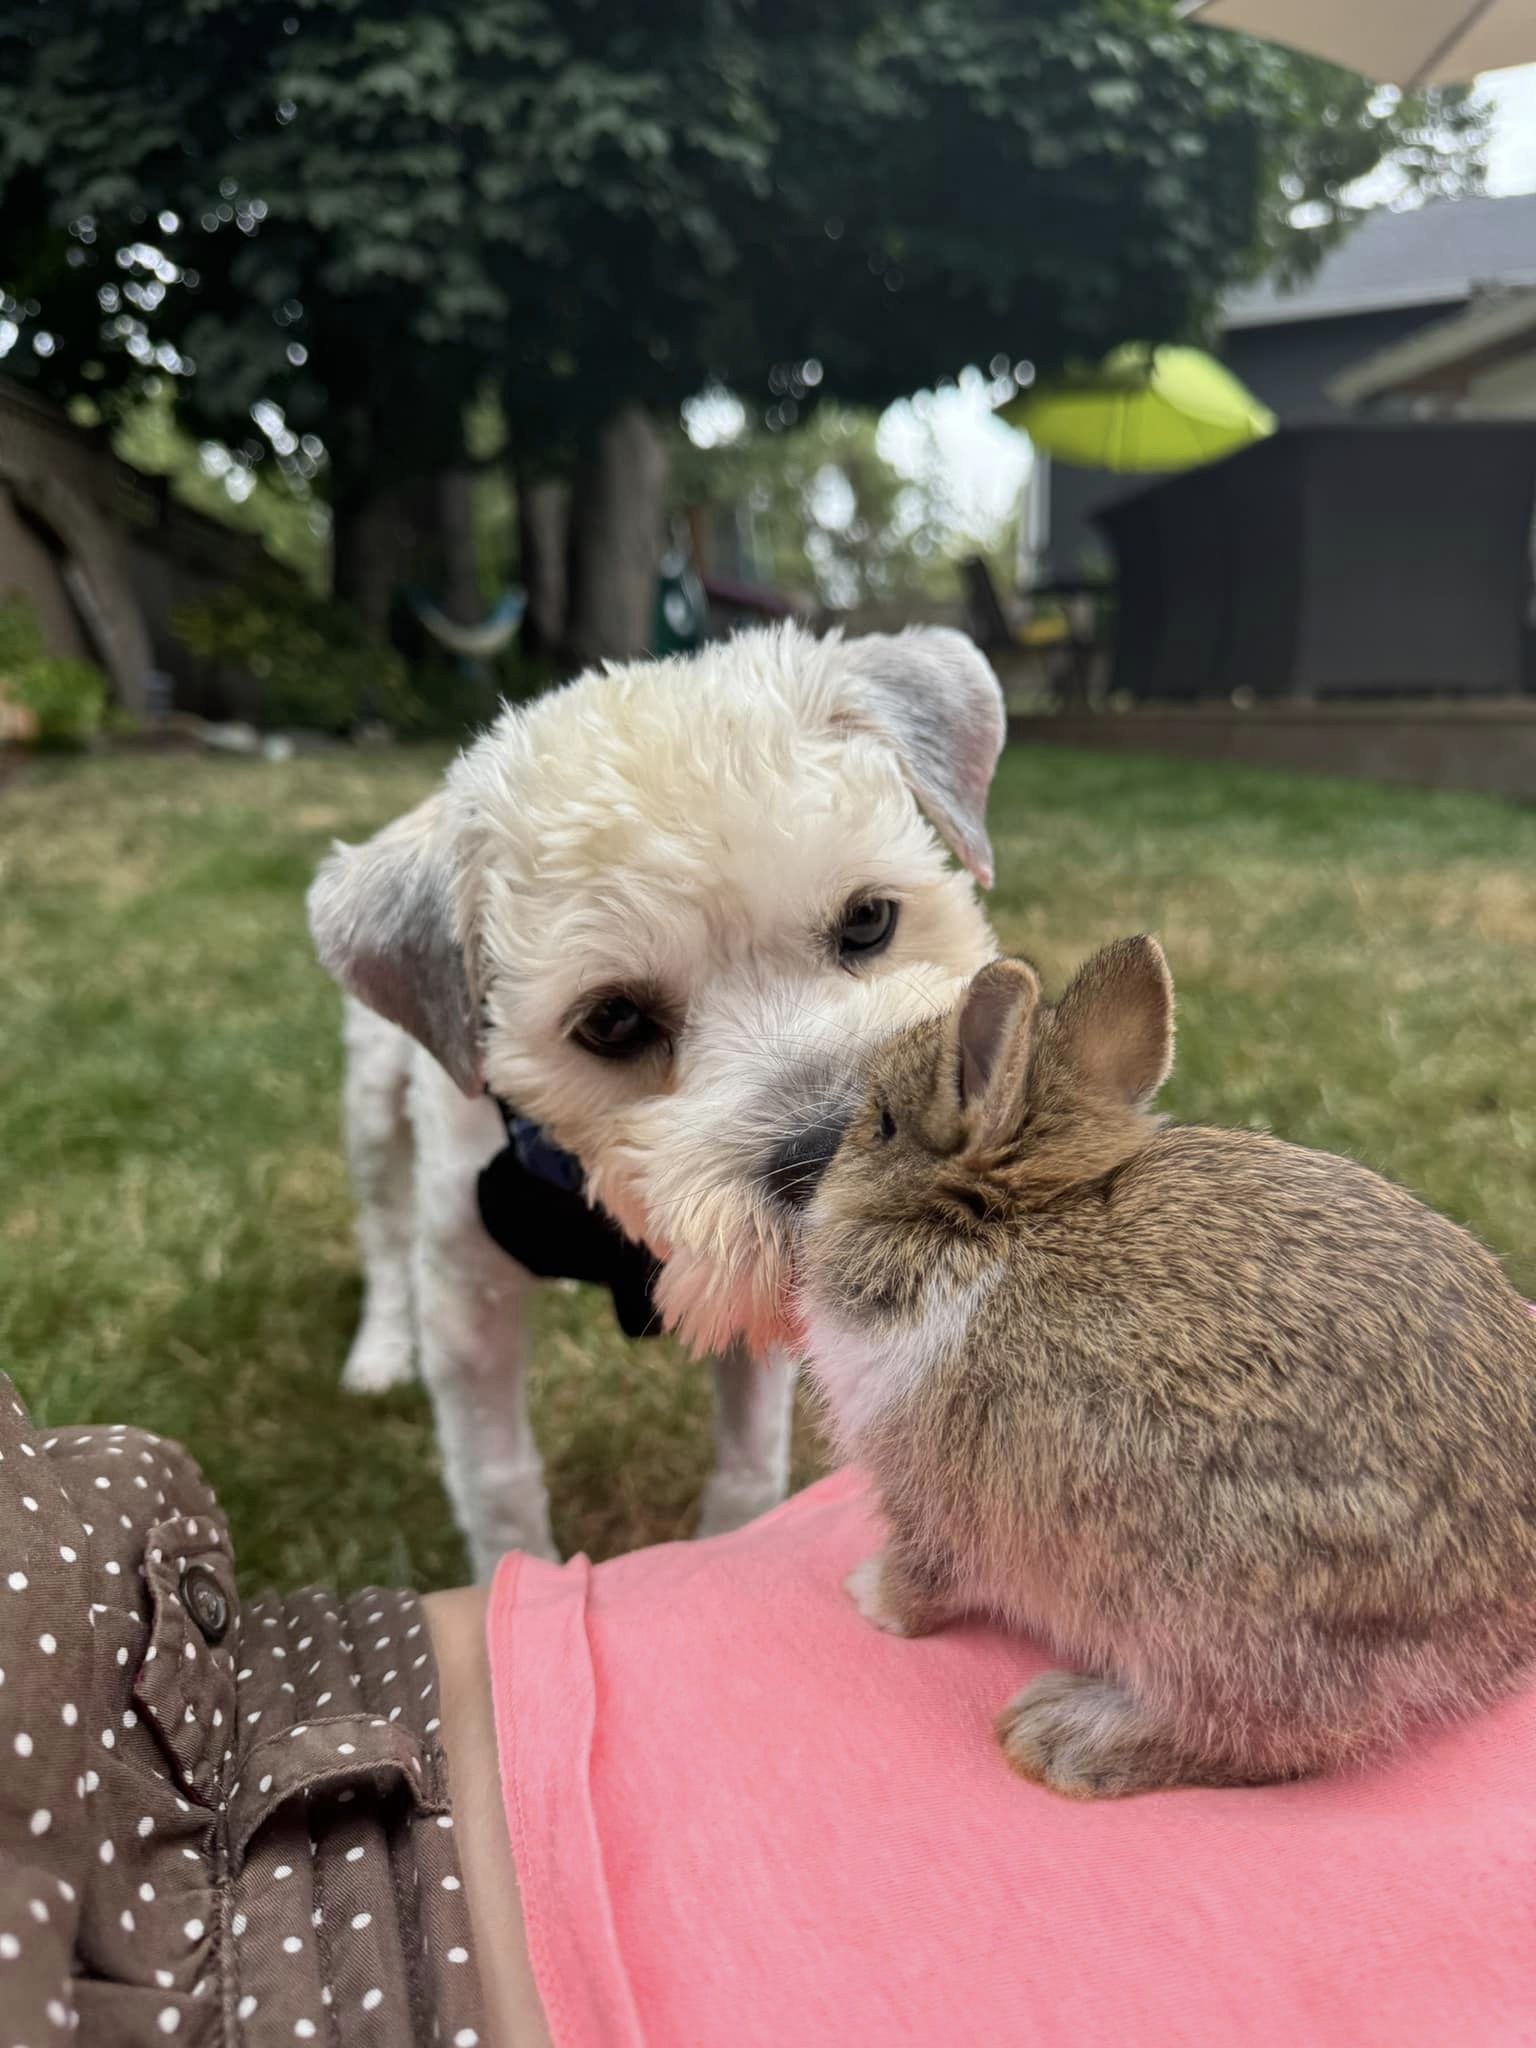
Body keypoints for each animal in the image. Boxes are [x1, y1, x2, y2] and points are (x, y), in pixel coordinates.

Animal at [313, 614, 1011, 1572]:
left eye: (870, 919)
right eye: (610, 1020)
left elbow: (751, 1464)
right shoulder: (467, 1306)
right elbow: (497, 1484)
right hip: (372, 1109)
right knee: (382, 1237)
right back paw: (378, 1351)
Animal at [794, 937, 1536, 1802]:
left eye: (881, 1123)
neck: (1005, 1222)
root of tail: (1499, 1618)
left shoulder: (928, 1495)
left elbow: (924, 1577)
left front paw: (868, 1598)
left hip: (1210, 1607)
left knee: (1262, 1736)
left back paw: (1063, 1733)